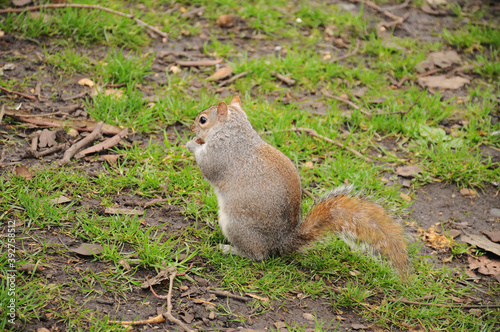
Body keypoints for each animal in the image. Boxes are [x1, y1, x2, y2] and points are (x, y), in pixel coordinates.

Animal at [186, 96, 408, 278]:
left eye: (203, 120)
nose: (190, 128)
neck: (233, 132)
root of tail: (279, 243)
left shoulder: (222, 153)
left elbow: (208, 166)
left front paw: (191, 144)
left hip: (236, 225)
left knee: (257, 255)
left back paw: (229, 249)